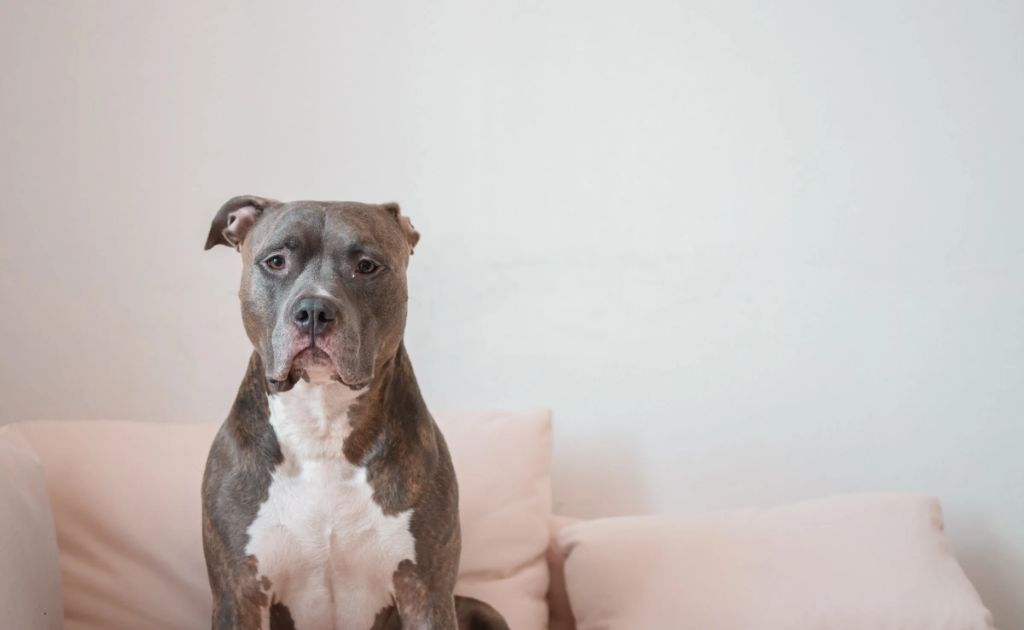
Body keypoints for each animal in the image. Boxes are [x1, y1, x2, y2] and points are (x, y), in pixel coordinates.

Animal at [200, 196, 507, 630]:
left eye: (366, 266)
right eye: (276, 261)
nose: (313, 310)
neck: (322, 423)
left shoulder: (426, 592)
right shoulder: (238, 592)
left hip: (481, 609)